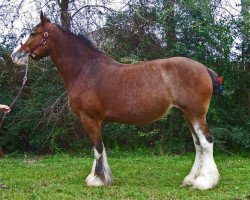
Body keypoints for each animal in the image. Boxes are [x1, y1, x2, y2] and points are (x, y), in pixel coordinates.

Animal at [12, 11, 223, 190]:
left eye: (33, 33)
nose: (15, 55)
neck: (84, 69)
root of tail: (204, 69)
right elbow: (100, 148)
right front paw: (102, 177)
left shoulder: (90, 118)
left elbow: (97, 148)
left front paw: (97, 179)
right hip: (187, 115)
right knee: (198, 144)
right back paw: (191, 179)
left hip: (196, 114)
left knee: (206, 142)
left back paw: (204, 182)